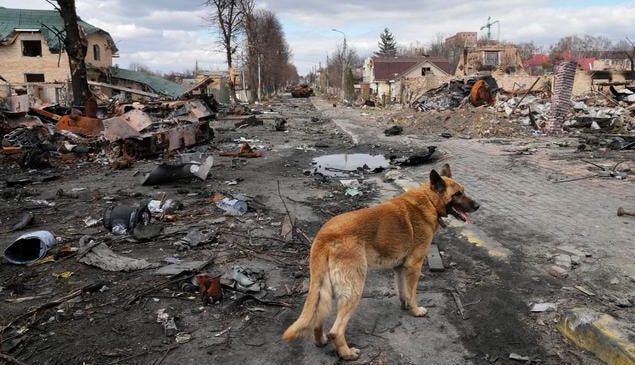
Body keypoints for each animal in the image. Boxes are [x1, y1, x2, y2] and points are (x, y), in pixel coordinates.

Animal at [280, 163, 480, 358]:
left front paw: (405, 306)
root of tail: (324, 235)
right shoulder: (414, 266)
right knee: (336, 330)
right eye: (457, 194)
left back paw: (321, 341)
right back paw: (346, 353)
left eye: (463, 191)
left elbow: (403, 291)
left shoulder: (400, 268)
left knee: (318, 318)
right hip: (354, 288)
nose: (478, 205)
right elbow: (413, 293)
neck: (429, 201)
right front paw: (415, 310)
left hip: (326, 288)